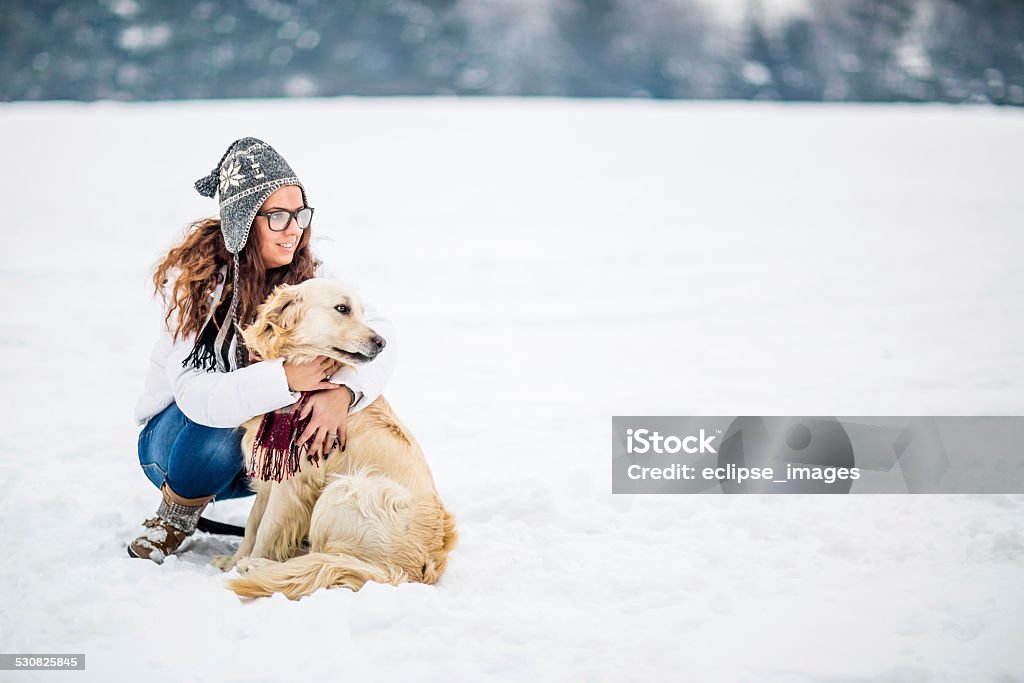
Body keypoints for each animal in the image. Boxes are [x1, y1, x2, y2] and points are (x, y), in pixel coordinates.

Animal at [211, 278, 456, 598]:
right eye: (342, 309)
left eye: (362, 311)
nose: (382, 342)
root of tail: (419, 568)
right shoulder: (269, 474)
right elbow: (253, 524)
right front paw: (234, 560)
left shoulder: (293, 482)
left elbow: (266, 529)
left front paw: (250, 561)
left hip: (346, 490)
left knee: (325, 558)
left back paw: (262, 568)